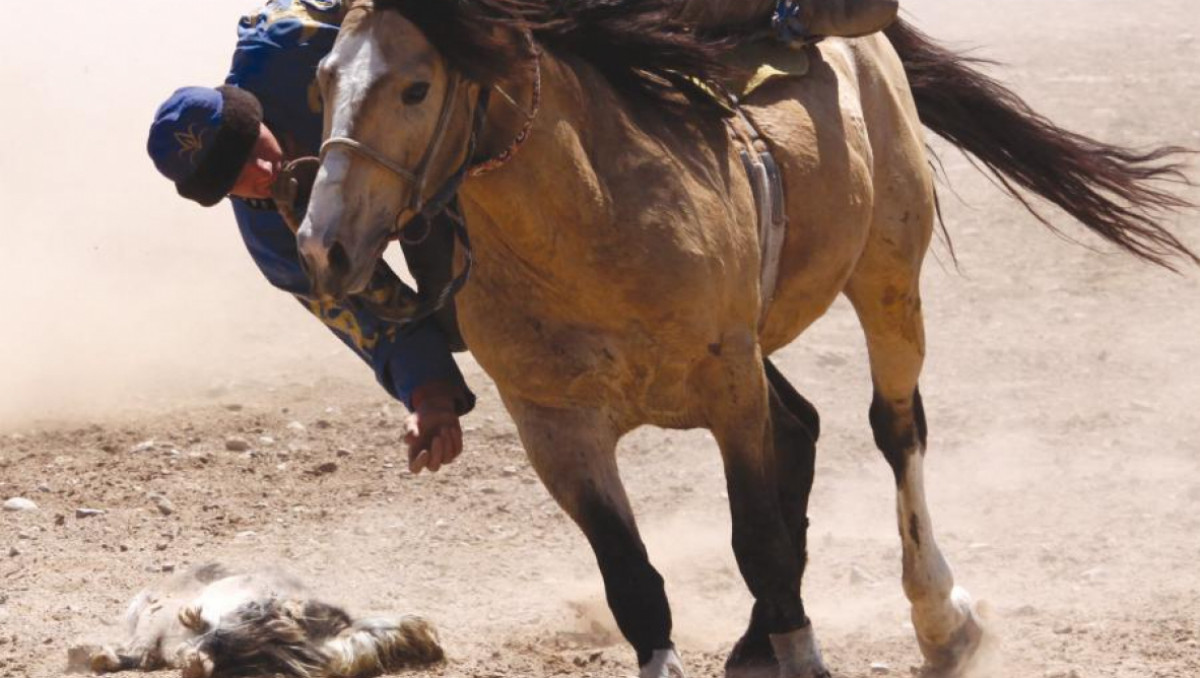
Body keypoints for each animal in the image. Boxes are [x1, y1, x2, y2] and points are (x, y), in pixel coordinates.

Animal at [288, 2, 1190, 672]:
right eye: (323, 81)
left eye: (414, 88)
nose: (321, 246)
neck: (589, 217)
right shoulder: (556, 429)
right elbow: (634, 583)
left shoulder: (729, 391)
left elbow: (758, 540)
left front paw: (804, 648)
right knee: (803, 429)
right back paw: (761, 635)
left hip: (888, 277)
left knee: (895, 429)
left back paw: (938, 616)